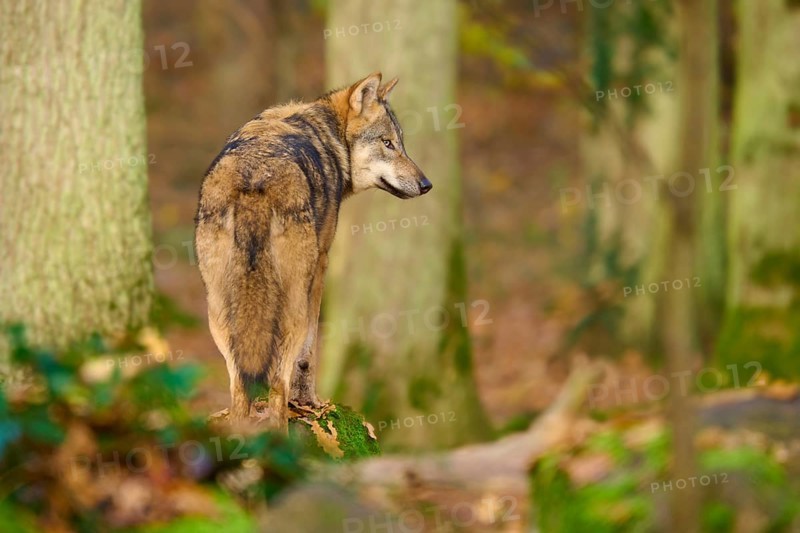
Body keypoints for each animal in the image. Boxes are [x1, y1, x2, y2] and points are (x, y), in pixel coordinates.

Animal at [195, 72, 431, 427]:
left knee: (239, 384)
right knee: (278, 385)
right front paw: (309, 402)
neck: (326, 131)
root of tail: (254, 176)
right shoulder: (321, 265)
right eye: (387, 143)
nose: (426, 184)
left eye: (400, 143)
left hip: (219, 308)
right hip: (290, 304)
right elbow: (308, 354)